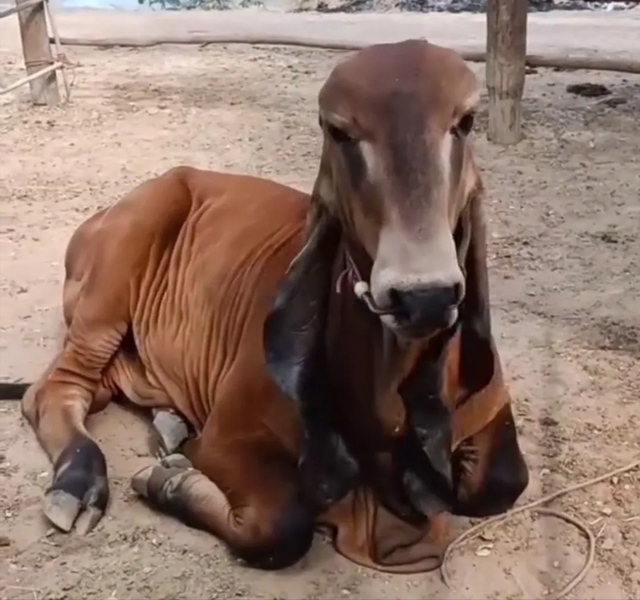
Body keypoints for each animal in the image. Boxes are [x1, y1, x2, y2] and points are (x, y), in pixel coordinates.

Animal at [0, 39, 528, 576]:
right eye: (338, 130)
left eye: (465, 121)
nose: (424, 295)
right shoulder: (228, 439)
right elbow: (281, 526)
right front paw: (169, 482)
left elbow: (503, 482)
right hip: (114, 284)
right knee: (55, 390)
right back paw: (78, 482)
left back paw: (169, 422)